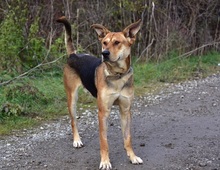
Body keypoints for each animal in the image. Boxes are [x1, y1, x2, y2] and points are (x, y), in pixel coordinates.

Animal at [56, 16, 143, 170]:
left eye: (117, 42)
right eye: (104, 43)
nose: (105, 53)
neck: (117, 75)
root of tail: (73, 55)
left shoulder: (126, 110)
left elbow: (128, 138)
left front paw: (132, 157)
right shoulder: (103, 113)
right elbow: (104, 141)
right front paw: (105, 162)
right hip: (72, 98)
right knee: (73, 121)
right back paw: (77, 140)